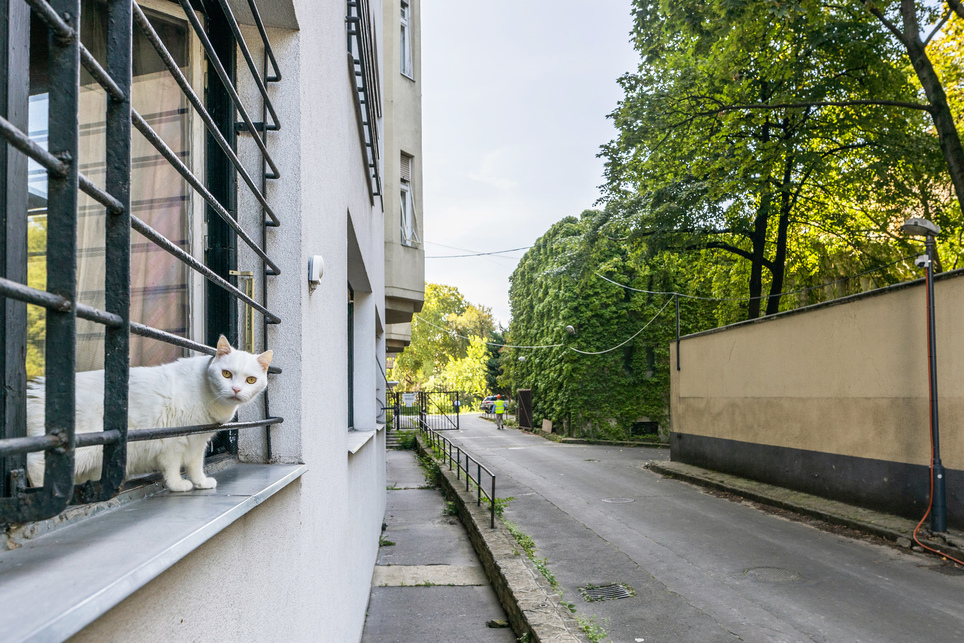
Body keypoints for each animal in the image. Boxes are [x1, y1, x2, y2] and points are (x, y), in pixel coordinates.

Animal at [25, 338, 272, 494]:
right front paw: (178, 485)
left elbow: (195, 466)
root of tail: (36, 392)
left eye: (250, 380)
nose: (236, 390)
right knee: (35, 463)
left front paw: (200, 482)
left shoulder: (197, 442)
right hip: (86, 447)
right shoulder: (174, 441)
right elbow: (173, 467)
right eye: (226, 374)